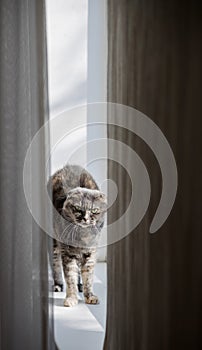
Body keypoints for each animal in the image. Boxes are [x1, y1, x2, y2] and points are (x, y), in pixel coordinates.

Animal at [47, 164, 107, 306]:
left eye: (94, 210)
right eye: (78, 209)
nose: (86, 219)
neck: (82, 237)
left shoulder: (90, 253)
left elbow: (88, 277)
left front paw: (89, 296)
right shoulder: (68, 253)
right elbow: (70, 277)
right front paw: (71, 298)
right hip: (54, 245)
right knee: (56, 266)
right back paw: (58, 285)